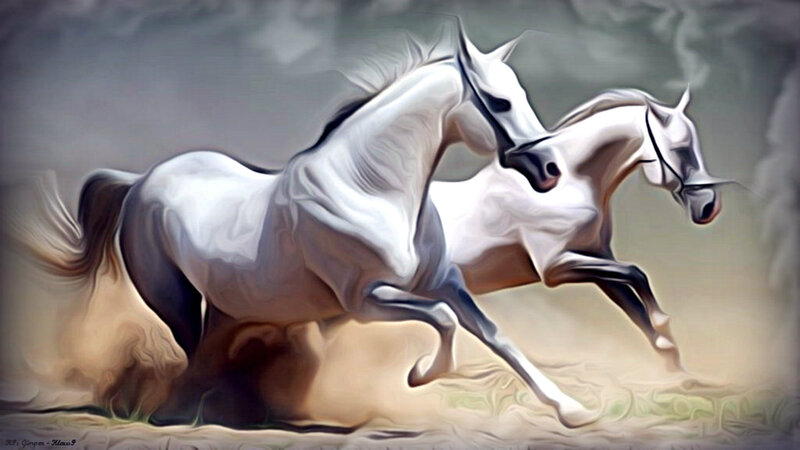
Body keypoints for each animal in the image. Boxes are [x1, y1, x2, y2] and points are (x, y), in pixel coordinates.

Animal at [51, 27, 601, 427]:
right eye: (499, 102)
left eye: (520, 95)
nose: (551, 170)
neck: (370, 189)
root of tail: (141, 180)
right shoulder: (366, 300)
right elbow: (444, 321)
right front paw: (418, 375)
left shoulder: (445, 282)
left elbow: (494, 334)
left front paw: (574, 411)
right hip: (173, 298)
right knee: (193, 353)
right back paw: (196, 412)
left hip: (231, 304)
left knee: (210, 353)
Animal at [430, 87, 731, 374]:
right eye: (681, 149)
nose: (710, 208)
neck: (567, 183)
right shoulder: (555, 268)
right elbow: (637, 274)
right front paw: (664, 325)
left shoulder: (597, 262)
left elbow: (634, 306)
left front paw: (676, 368)